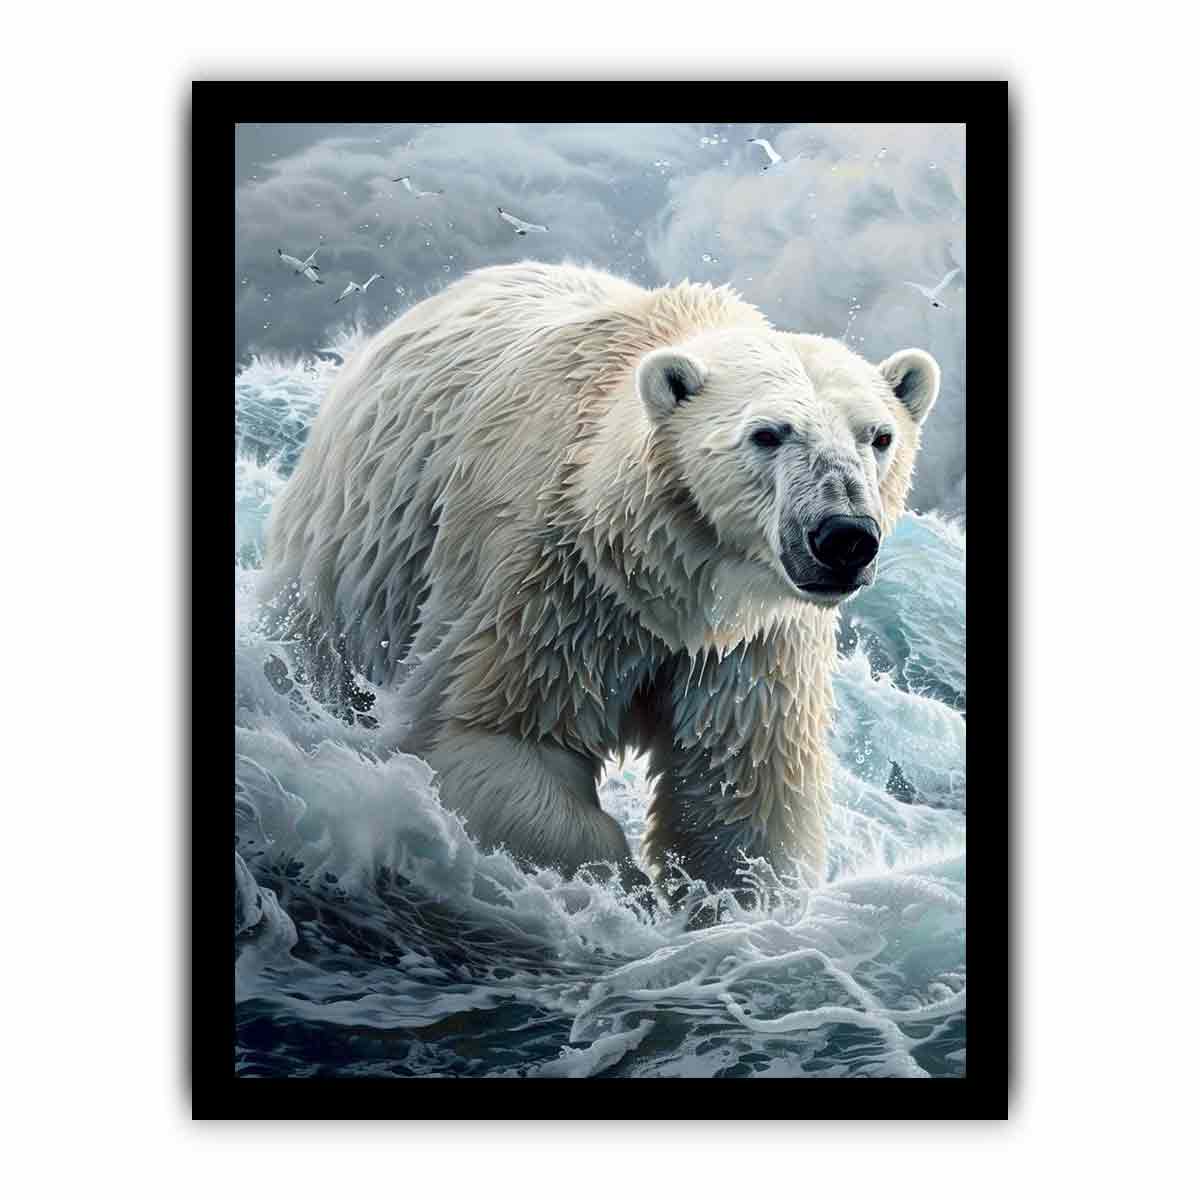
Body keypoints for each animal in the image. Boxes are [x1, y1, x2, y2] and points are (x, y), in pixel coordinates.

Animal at [260, 261, 939, 899]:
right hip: (358, 551)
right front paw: (623, 891)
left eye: (879, 436)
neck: (667, 575)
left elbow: (741, 795)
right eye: (767, 433)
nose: (844, 536)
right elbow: (497, 737)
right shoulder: (551, 585)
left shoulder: (754, 643)